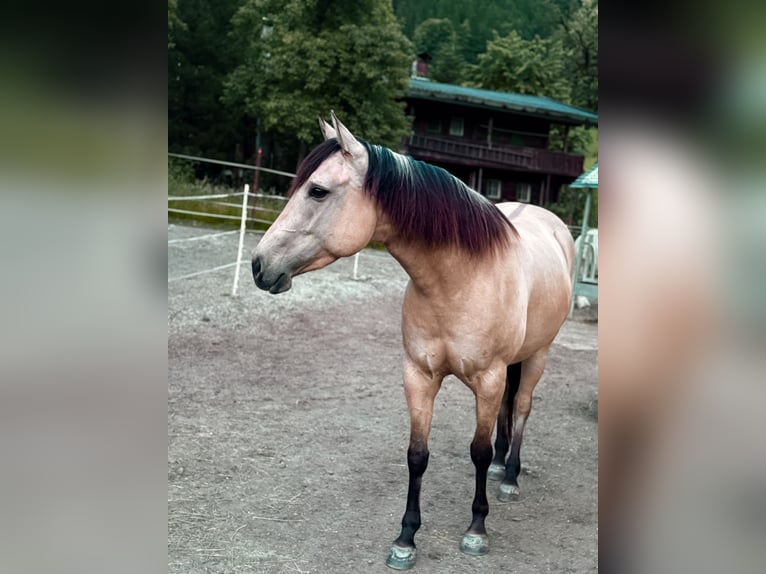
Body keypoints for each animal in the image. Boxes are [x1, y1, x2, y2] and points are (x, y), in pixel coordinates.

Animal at [252, 112, 574, 570]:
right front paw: (406, 538)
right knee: (506, 415)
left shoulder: (489, 379)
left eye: (317, 191)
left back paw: (509, 476)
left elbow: (477, 449)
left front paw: (476, 531)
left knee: (523, 409)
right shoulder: (419, 376)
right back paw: (500, 467)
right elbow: (417, 455)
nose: (258, 265)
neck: (459, 281)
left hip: (537, 357)